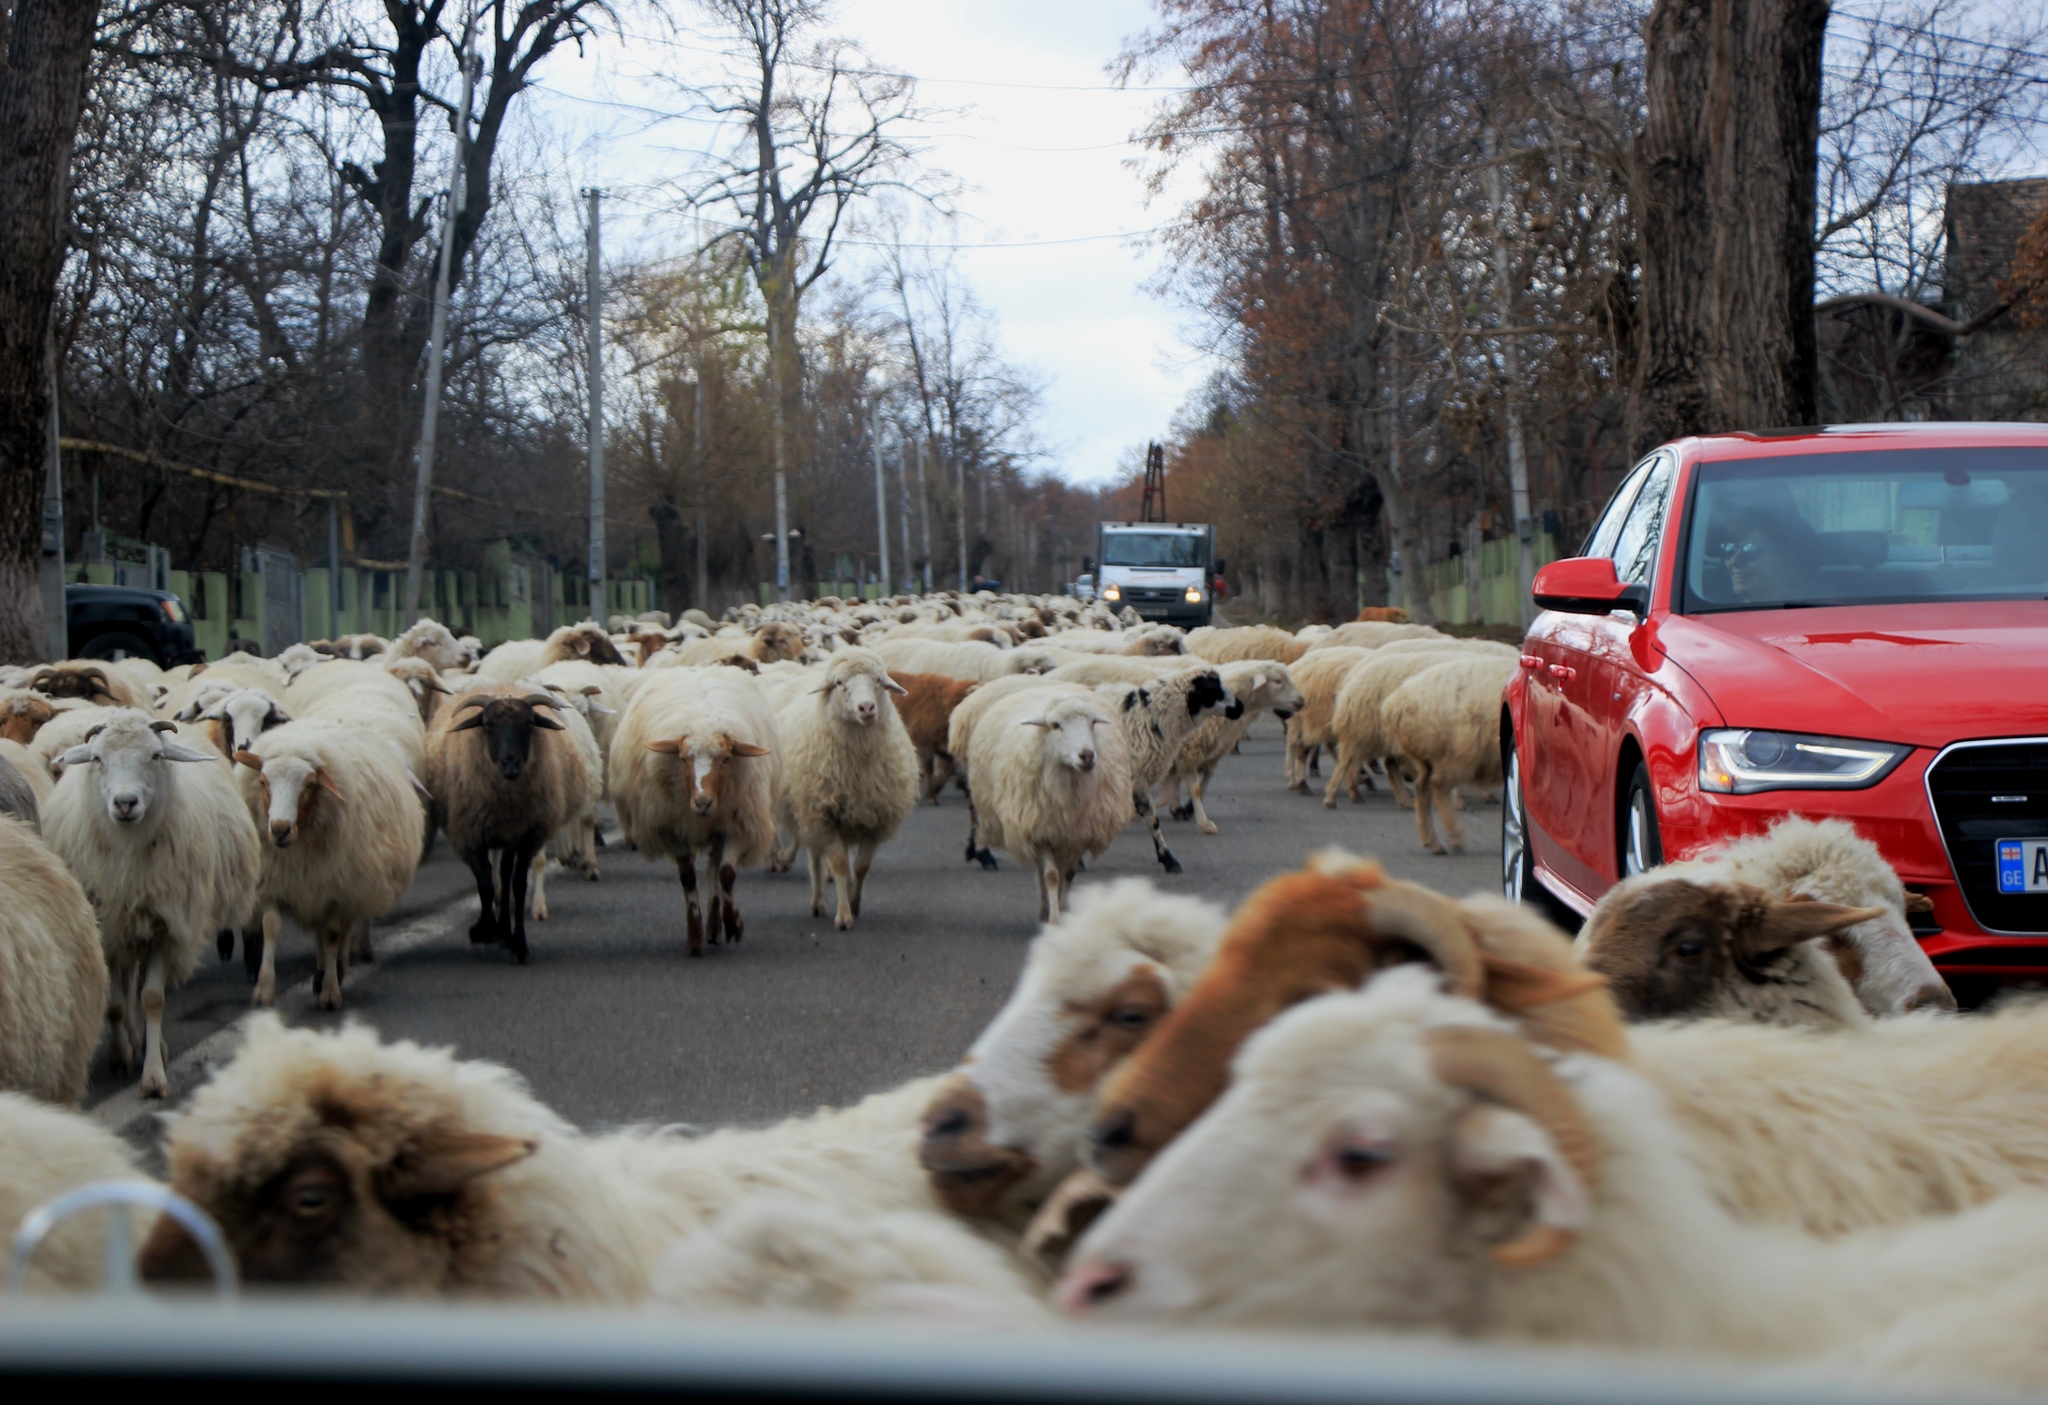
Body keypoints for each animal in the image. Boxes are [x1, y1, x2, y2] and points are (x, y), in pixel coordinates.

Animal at [41, 716, 260, 1097]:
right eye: (97, 758)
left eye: (156, 755)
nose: (125, 803)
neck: (129, 856)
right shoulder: (108, 925)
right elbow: (115, 1005)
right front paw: (120, 1056)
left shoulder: (165, 927)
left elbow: (153, 999)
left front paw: (154, 1074)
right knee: (127, 983)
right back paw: (129, 1040)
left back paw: (145, 1042)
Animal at [606, 667, 782, 958]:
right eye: (683, 758)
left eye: (725, 758)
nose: (702, 802)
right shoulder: (672, 830)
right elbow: (688, 878)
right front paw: (695, 938)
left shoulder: (735, 825)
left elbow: (726, 875)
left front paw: (734, 924)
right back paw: (709, 929)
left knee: (714, 870)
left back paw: (716, 925)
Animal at [774, 651, 921, 933]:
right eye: (840, 683)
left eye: (878, 680)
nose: (867, 708)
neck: (858, 761)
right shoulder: (825, 816)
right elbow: (840, 864)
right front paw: (843, 916)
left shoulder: (874, 818)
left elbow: (862, 867)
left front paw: (854, 902)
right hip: (809, 812)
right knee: (815, 857)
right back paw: (818, 901)